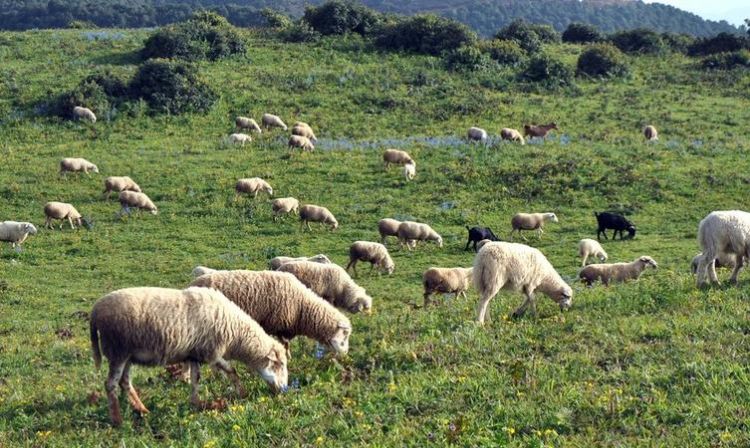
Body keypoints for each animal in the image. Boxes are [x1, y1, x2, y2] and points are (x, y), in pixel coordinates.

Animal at [89, 288, 288, 428]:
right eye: (279, 364)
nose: (284, 389)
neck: (236, 334)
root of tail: (95, 310)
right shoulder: (211, 352)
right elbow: (231, 369)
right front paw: (242, 392)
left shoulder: (195, 354)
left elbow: (195, 378)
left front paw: (196, 404)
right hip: (117, 351)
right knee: (111, 384)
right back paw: (117, 420)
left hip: (128, 355)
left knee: (125, 382)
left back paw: (142, 410)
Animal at [188, 270, 352, 356]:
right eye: (344, 335)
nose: (345, 353)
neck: (302, 306)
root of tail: (193, 283)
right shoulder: (275, 324)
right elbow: (283, 344)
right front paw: (286, 356)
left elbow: (286, 344)